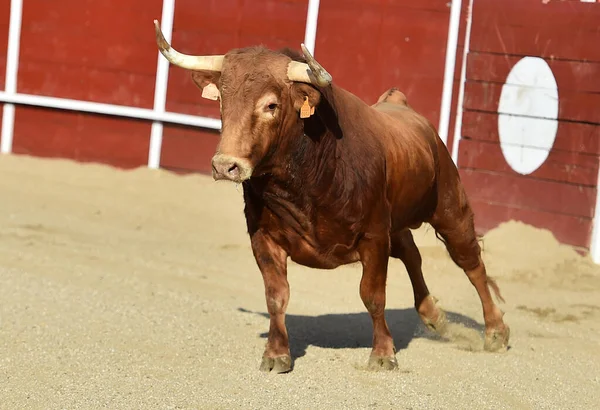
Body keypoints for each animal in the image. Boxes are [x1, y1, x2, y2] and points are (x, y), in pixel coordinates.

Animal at [152, 20, 508, 374]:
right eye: (222, 101)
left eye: (271, 105)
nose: (226, 166)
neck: (305, 177)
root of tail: (404, 107)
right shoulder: (263, 237)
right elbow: (276, 295)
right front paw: (276, 354)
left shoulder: (373, 237)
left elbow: (373, 295)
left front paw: (383, 354)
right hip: (395, 223)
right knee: (411, 252)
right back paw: (433, 316)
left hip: (449, 208)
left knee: (470, 263)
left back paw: (495, 332)